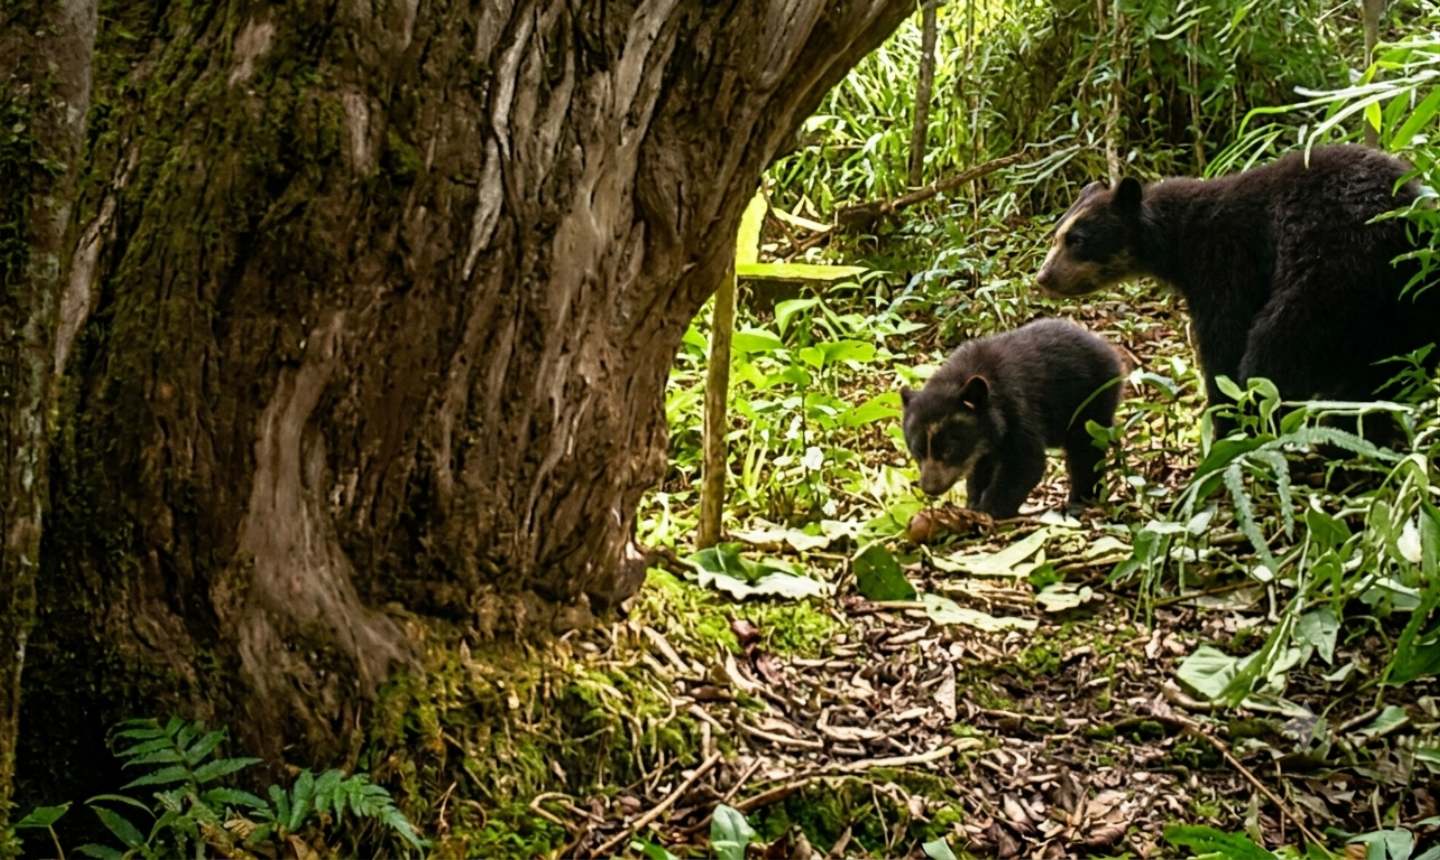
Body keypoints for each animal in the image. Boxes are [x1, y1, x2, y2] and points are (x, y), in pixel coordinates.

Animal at [900, 318, 1123, 519]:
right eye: (917, 451)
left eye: (949, 449)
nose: (930, 488)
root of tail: (1108, 349)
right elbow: (981, 468)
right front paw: (973, 504)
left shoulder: (1016, 408)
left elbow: (1024, 462)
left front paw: (988, 511)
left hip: (1091, 397)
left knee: (1085, 449)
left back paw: (1082, 499)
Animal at [1035, 144, 1440, 429]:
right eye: (1056, 235)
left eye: (1078, 240)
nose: (1043, 278)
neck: (1178, 240)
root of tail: (1405, 225)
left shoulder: (1224, 262)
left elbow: (1224, 342)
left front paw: (1224, 418)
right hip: (1412, 298)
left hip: (1331, 268)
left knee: (1279, 345)